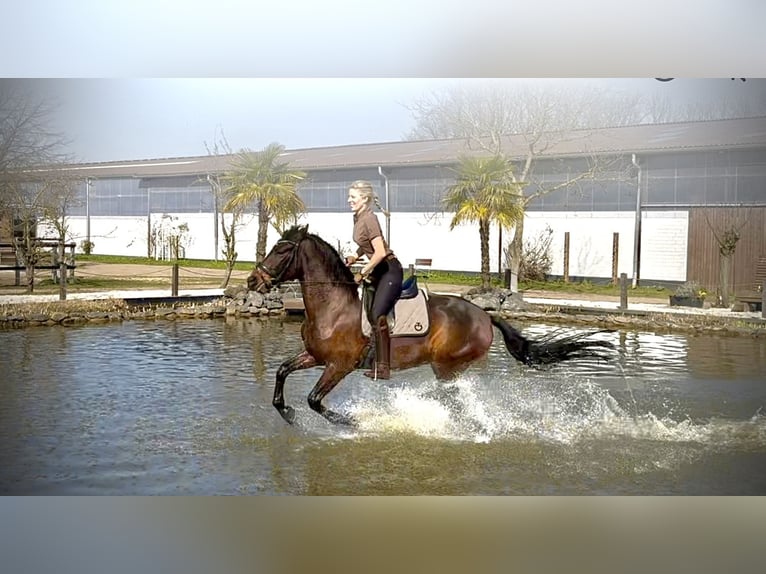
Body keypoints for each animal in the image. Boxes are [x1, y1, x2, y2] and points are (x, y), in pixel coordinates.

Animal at [249, 225, 616, 428]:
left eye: (282, 250)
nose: (253, 280)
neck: (332, 307)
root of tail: (485, 315)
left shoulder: (340, 365)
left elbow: (314, 400)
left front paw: (350, 421)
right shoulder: (315, 356)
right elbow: (282, 371)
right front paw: (287, 412)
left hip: (448, 365)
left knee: (450, 397)